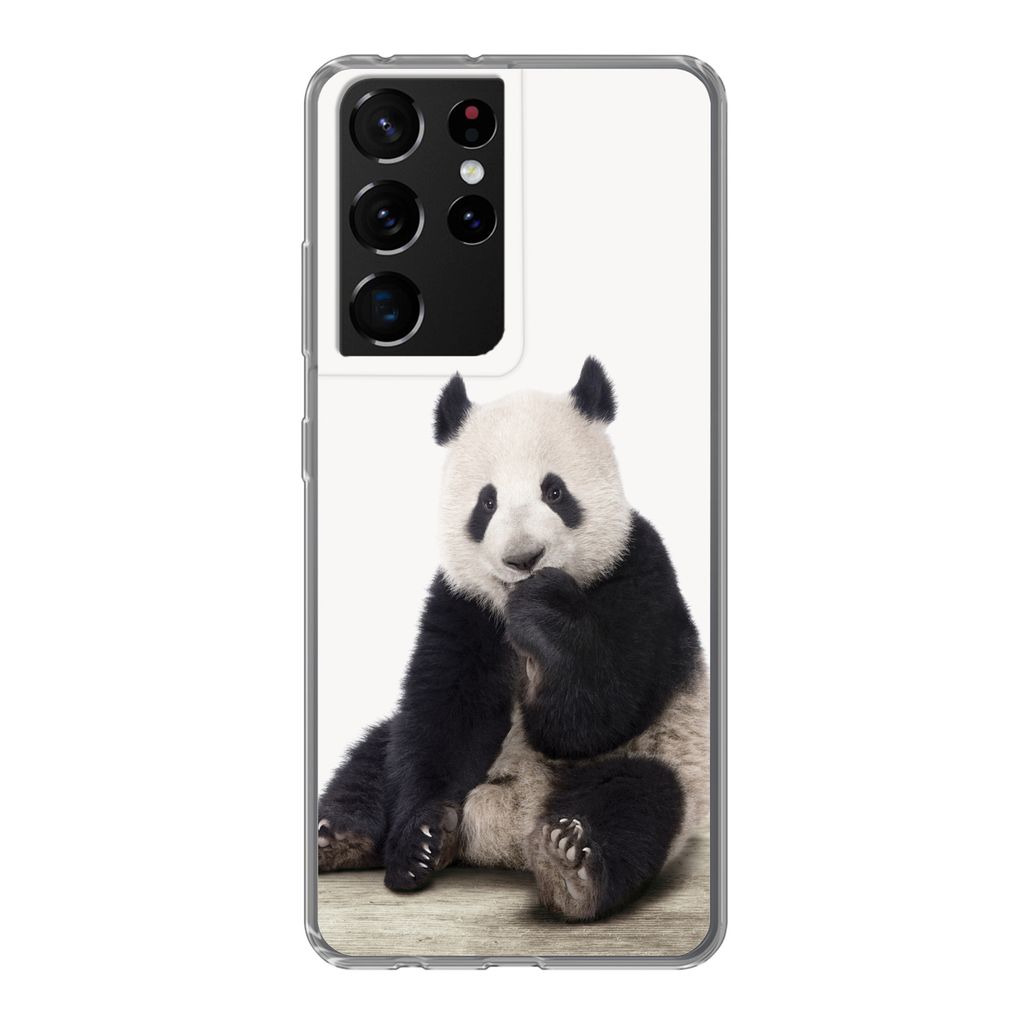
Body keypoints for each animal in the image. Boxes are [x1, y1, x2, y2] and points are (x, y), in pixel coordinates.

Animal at [318, 358, 710, 922]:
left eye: (555, 492)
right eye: (487, 502)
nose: (524, 558)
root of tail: (507, 833)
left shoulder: (638, 570)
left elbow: (596, 713)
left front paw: (545, 612)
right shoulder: (462, 603)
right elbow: (444, 715)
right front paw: (419, 842)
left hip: (669, 758)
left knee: (638, 800)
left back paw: (571, 865)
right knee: (376, 755)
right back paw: (340, 837)